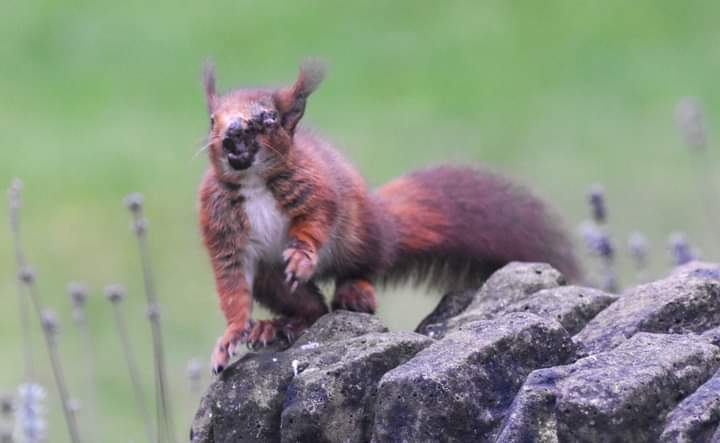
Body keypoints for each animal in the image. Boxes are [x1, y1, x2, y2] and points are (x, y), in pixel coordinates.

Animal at [198, 59, 580, 373]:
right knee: (314, 309)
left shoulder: (318, 191)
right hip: (271, 279)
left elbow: (315, 224)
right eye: (213, 120)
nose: (232, 133)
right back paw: (277, 325)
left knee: (363, 269)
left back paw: (354, 292)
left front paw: (301, 257)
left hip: (359, 235)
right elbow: (233, 287)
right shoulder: (222, 231)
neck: (254, 182)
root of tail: (386, 227)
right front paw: (231, 337)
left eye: (268, 118)